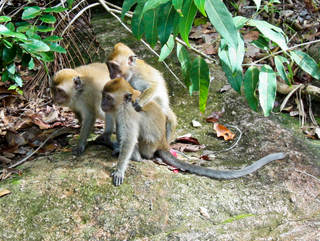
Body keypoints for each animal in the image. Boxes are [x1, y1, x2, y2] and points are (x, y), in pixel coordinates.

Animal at [101, 78, 286, 185]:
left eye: (108, 97)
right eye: (103, 95)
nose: (102, 104)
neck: (124, 104)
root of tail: (164, 144)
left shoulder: (128, 115)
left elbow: (130, 139)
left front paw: (120, 169)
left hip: (149, 145)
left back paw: (136, 156)